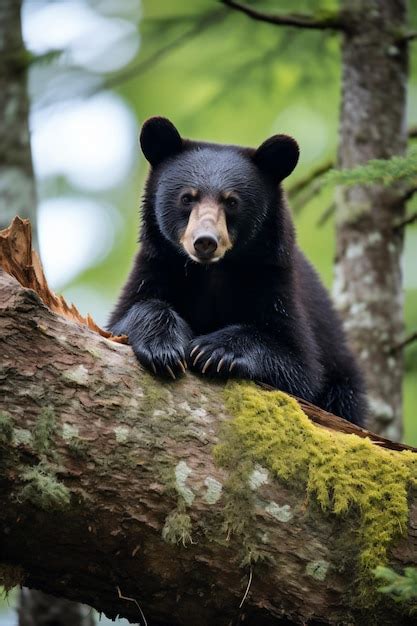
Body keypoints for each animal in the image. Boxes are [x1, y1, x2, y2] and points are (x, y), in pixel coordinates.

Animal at [109, 116, 366, 424]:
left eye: (231, 201)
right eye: (187, 198)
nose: (205, 241)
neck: (211, 272)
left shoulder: (274, 280)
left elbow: (299, 364)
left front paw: (213, 350)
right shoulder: (157, 266)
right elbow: (125, 316)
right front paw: (164, 348)